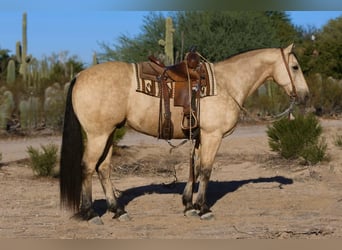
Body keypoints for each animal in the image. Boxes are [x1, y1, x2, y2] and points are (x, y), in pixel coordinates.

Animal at [59, 44, 310, 222]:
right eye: (295, 67)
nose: (305, 96)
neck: (227, 83)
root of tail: (79, 76)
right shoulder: (212, 135)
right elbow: (206, 170)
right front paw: (203, 208)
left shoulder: (199, 136)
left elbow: (195, 168)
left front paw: (189, 205)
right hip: (98, 135)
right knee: (88, 167)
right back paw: (91, 213)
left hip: (109, 133)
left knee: (103, 169)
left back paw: (118, 211)